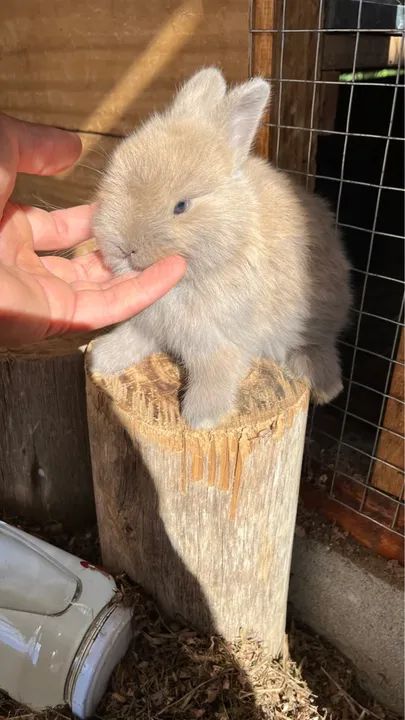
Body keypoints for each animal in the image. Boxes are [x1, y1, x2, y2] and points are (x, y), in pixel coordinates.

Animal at [90, 67, 352, 429]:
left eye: (181, 206)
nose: (123, 248)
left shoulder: (219, 343)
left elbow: (215, 373)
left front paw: (201, 417)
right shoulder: (149, 325)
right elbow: (133, 338)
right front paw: (102, 357)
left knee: (321, 345)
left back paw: (324, 384)